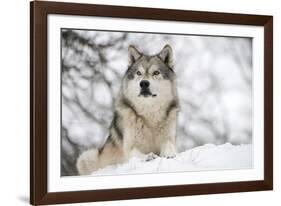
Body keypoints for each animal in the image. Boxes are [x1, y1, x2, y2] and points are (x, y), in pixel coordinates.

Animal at [75, 44, 178, 175]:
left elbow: (169, 145)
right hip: (86, 157)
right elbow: (136, 153)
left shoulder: (169, 138)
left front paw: (169, 153)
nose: (144, 83)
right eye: (138, 73)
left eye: (156, 72)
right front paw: (148, 156)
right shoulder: (129, 148)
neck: (149, 115)